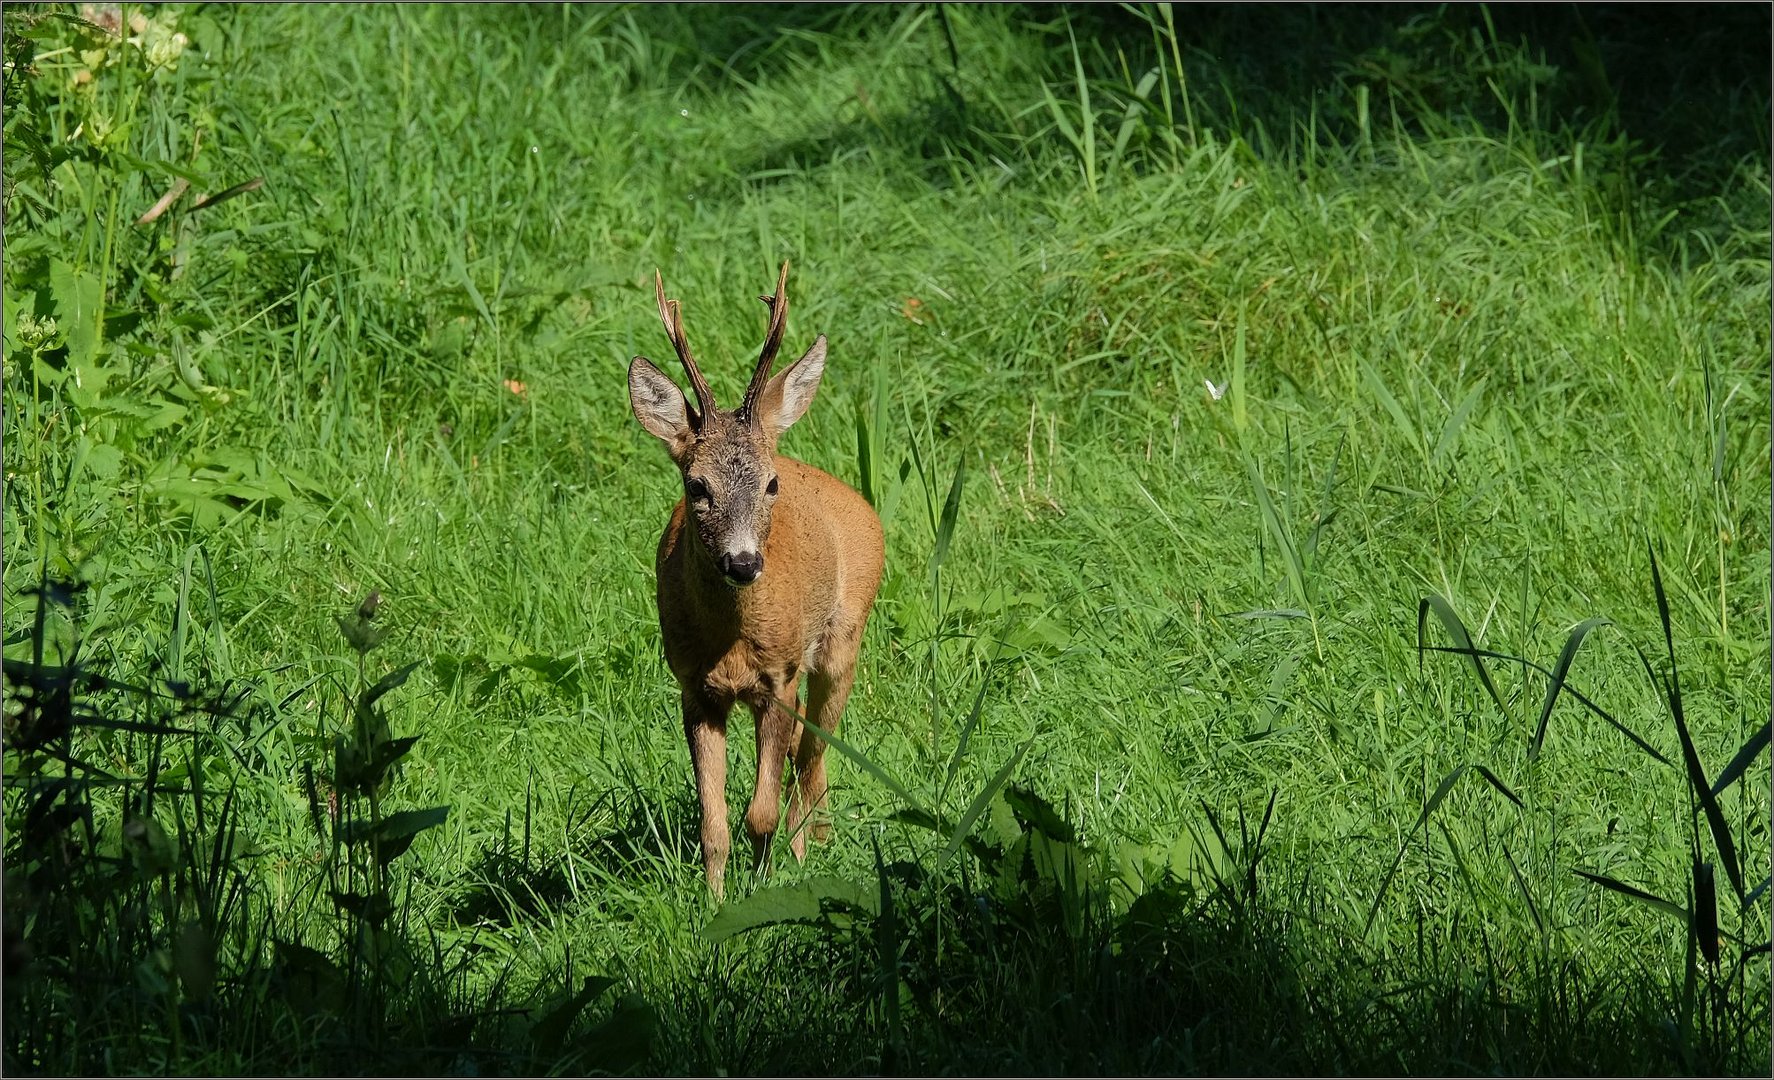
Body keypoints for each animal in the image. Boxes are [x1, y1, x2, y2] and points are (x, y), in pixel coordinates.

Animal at [635, 260, 887, 893]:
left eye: (770, 484)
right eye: (696, 485)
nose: (744, 563)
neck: (735, 644)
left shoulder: (781, 679)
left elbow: (760, 812)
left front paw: (767, 880)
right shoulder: (694, 686)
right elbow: (714, 823)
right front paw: (714, 898)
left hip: (842, 643)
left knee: (814, 754)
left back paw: (809, 844)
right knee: (805, 756)